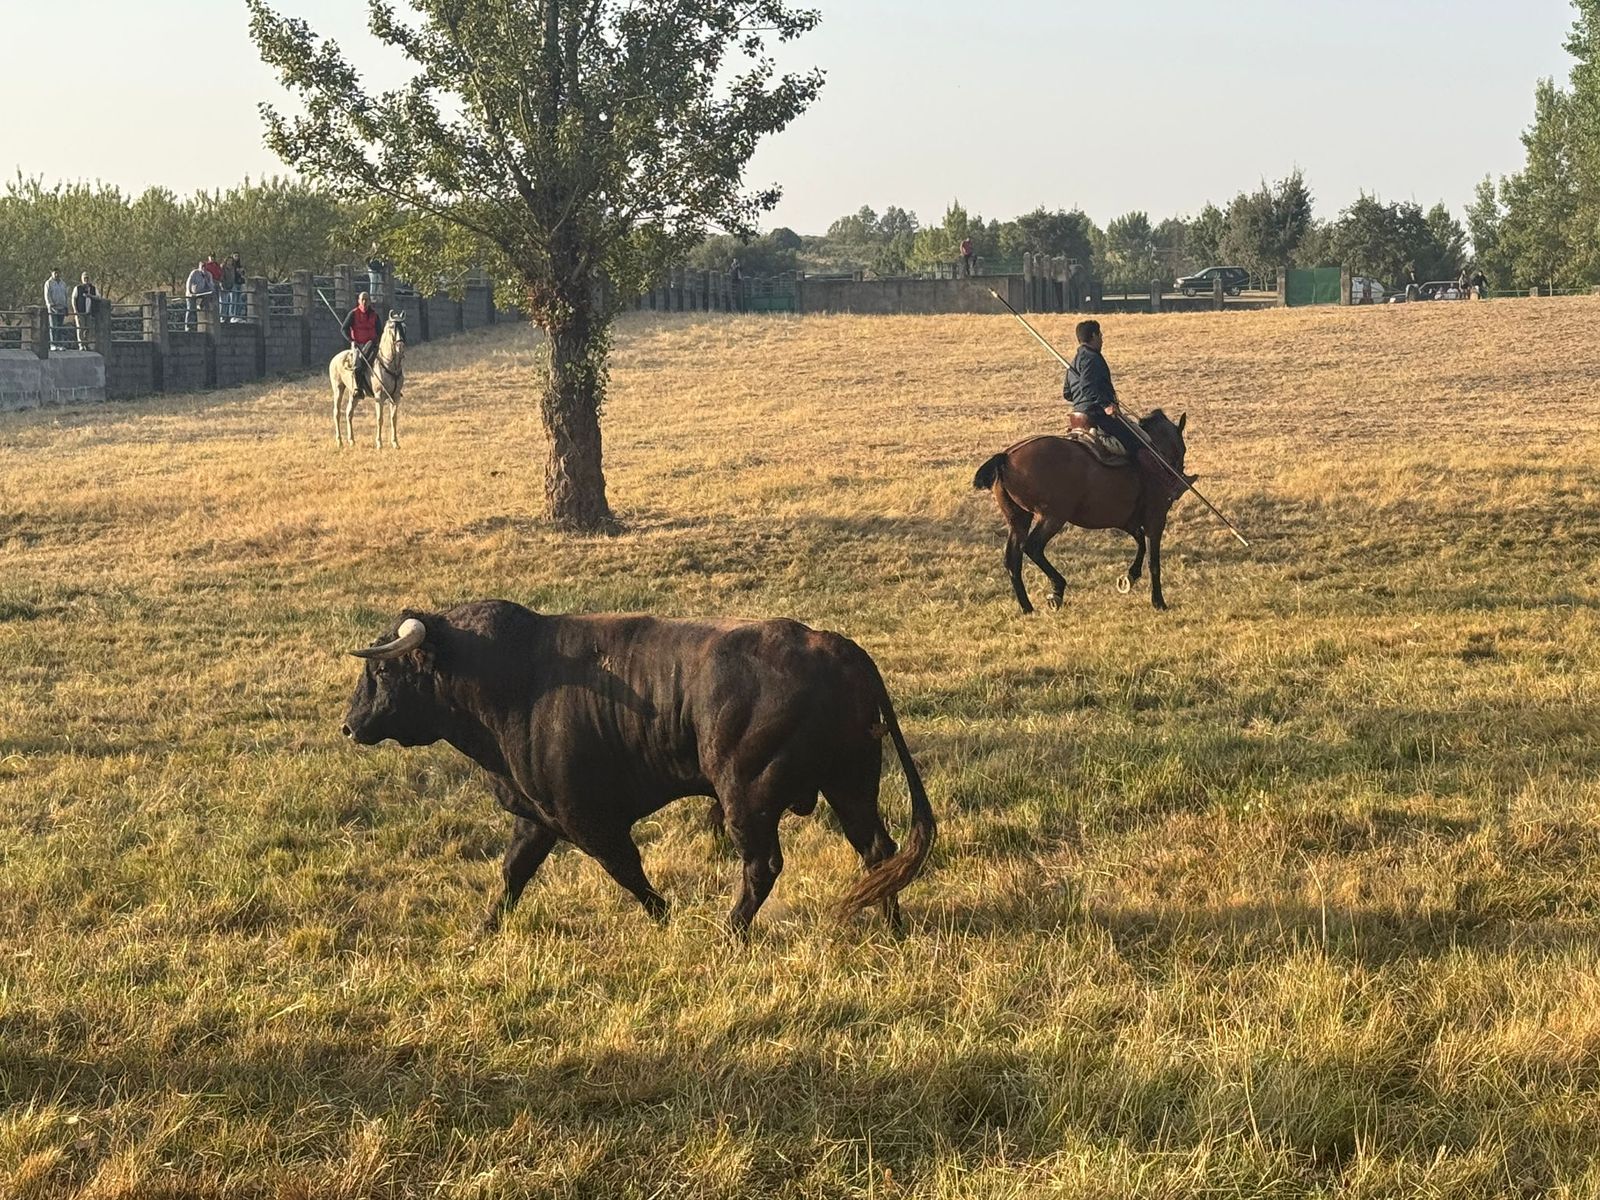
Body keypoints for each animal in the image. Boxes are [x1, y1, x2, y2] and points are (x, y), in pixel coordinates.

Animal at [331, 310, 407, 448]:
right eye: (392, 327)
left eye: (404, 327)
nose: (401, 347)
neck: (389, 364)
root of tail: (335, 358)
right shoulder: (379, 397)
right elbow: (380, 419)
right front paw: (379, 444)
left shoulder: (395, 397)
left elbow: (393, 419)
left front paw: (395, 443)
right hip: (338, 389)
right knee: (337, 413)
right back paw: (339, 441)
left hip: (353, 394)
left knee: (349, 413)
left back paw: (351, 440)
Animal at [972, 410, 1194, 613]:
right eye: (1183, 448)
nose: (1179, 477)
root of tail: (1007, 456)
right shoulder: (1155, 519)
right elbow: (1153, 560)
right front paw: (1158, 602)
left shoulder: (1126, 520)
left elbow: (1140, 542)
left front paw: (1130, 576)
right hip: (1053, 517)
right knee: (1032, 547)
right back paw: (1057, 589)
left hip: (1018, 518)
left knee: (1013, 559)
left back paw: (1027, 607)